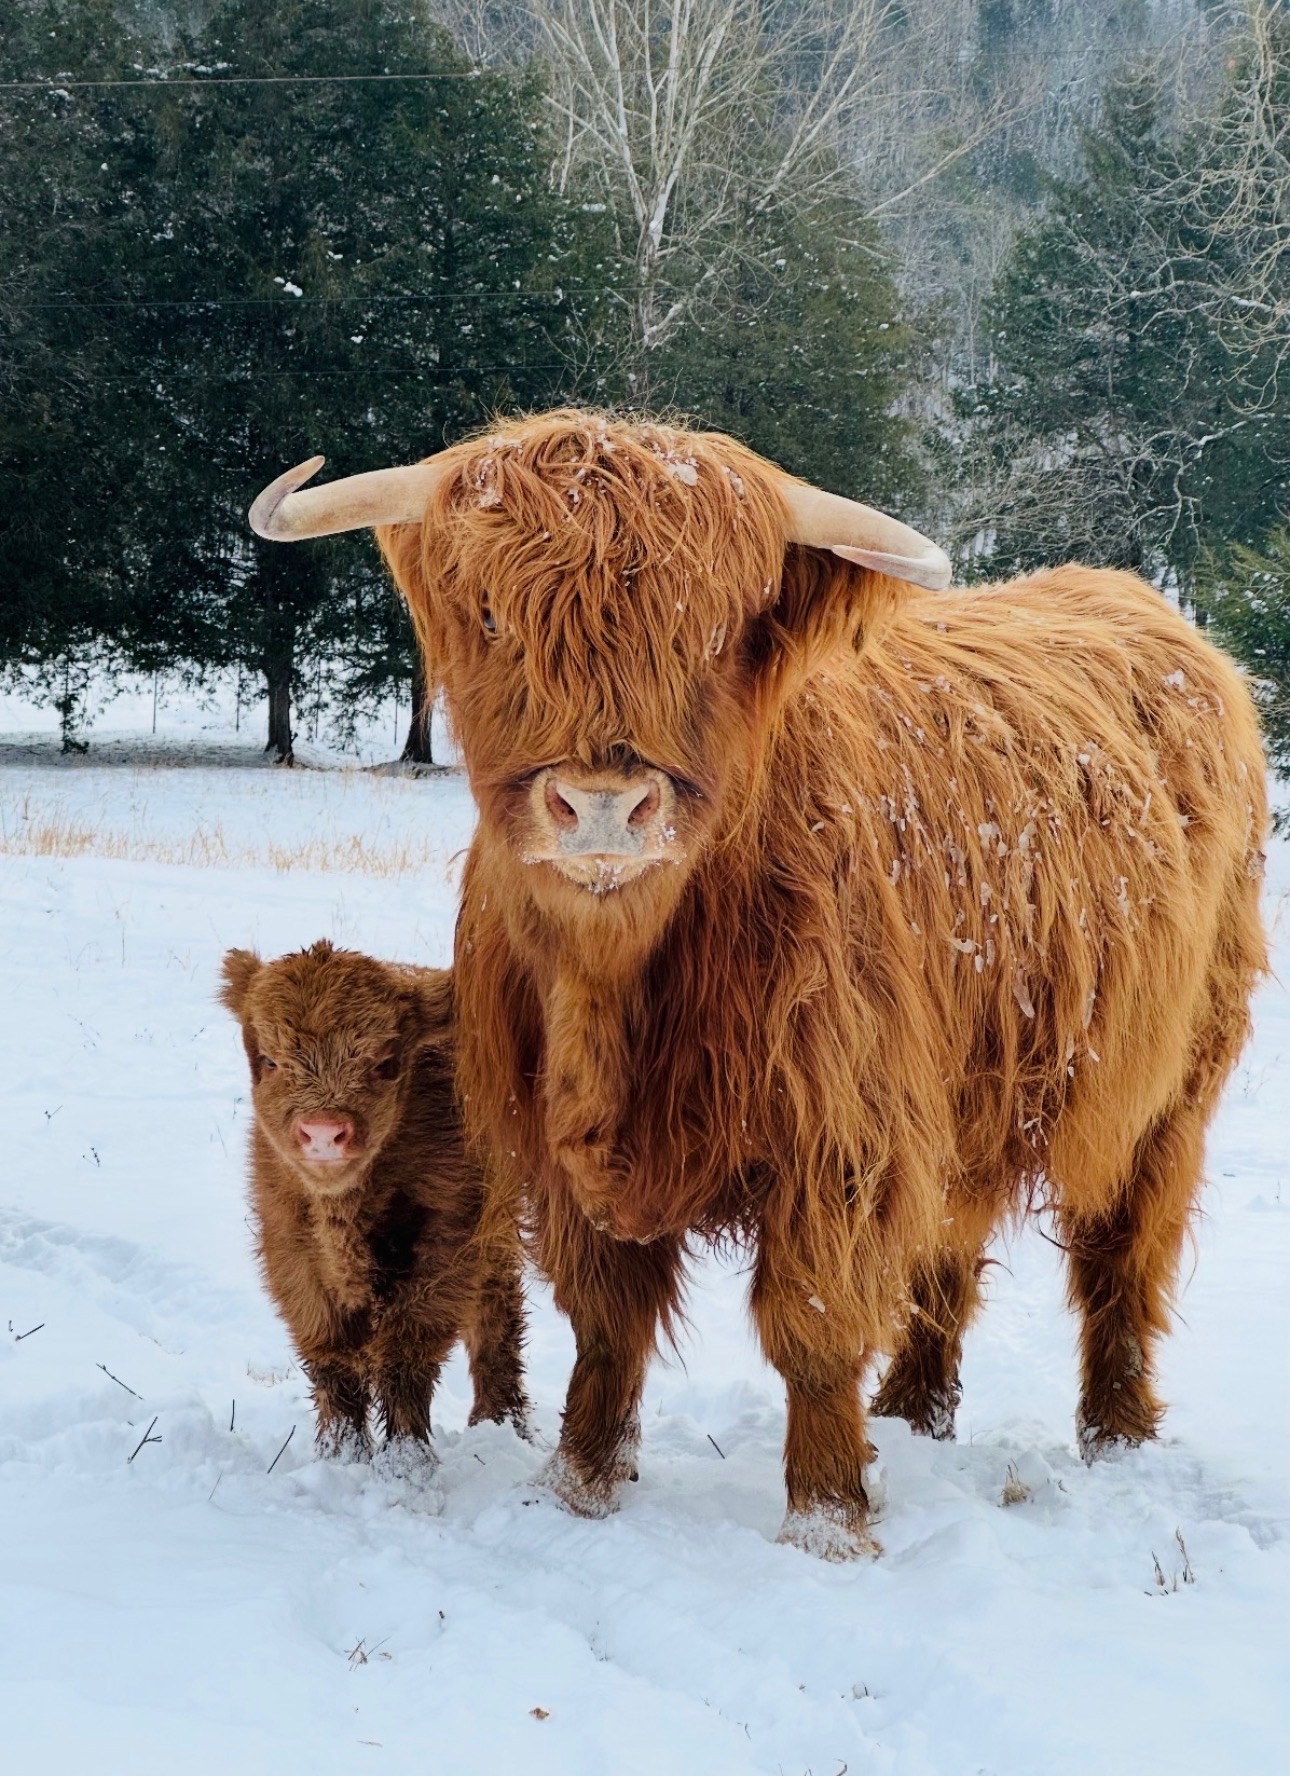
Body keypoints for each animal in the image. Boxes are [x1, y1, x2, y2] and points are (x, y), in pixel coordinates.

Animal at [220, 941, 530, 1464]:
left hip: (497, 1237)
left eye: (385, 1063)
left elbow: (405, 1359)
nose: (324, 1133)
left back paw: (503, 1422)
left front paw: (408, 1465)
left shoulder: (449, 1245)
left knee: (497, 1320)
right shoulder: (289, 1250)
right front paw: (340, 1455)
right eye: (270, 1061)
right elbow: (333, 1364)